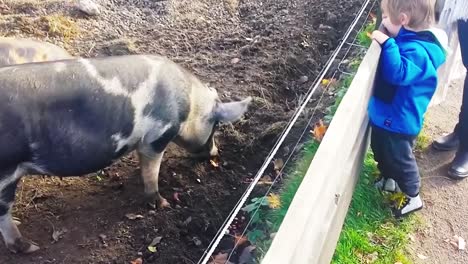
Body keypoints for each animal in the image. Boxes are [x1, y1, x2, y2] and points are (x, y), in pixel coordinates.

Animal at [0, 54, 252, 254]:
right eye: (216, 125)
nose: (215, 153)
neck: (190, 106)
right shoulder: (157, 136)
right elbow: (151, 171)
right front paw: (162, 204)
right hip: (6, 171)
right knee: (3, 212)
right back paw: (30, 247)